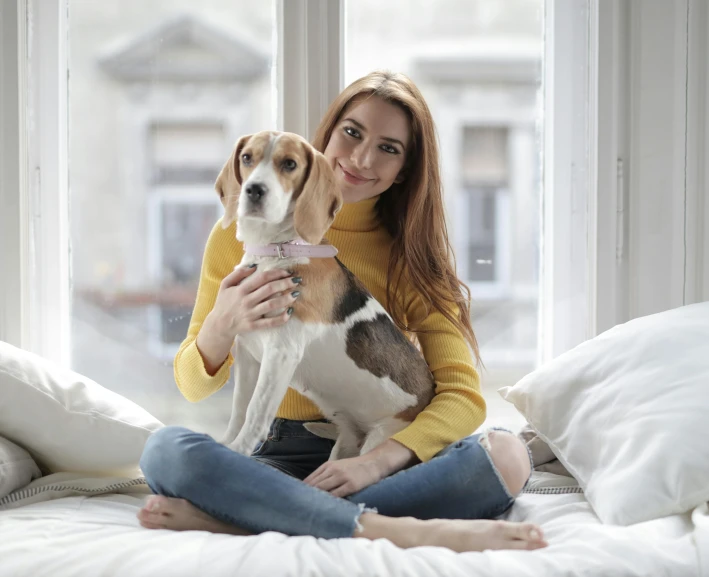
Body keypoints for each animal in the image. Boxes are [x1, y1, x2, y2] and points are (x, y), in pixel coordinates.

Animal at [214, 130, 432, 460]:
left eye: (290, 164)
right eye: (246, 158)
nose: (253, 190)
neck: (276, 250)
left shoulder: (281, 351)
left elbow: (255, 413)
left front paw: (238, 451)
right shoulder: (247, 351)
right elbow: (239, 409)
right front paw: (226, 444)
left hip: (380, 438)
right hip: (346, 443)